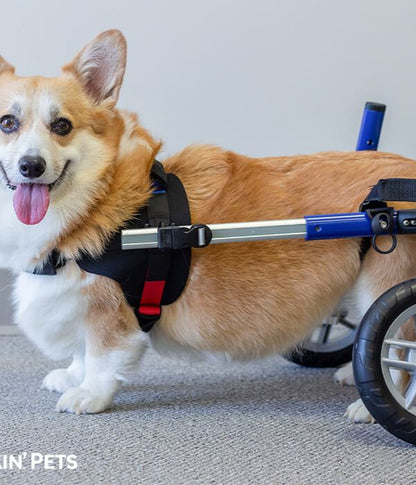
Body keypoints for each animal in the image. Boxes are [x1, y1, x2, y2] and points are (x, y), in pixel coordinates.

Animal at [0, 29, 416, 420]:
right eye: (8, 123)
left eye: (62, 125)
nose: (31, 166)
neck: (97, 198)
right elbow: (82, 352)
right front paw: (71, 375)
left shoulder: (109, 312)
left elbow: (101, 358)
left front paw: (88, 395)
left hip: (387, 284)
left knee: (400, 353)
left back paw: (374, 406)